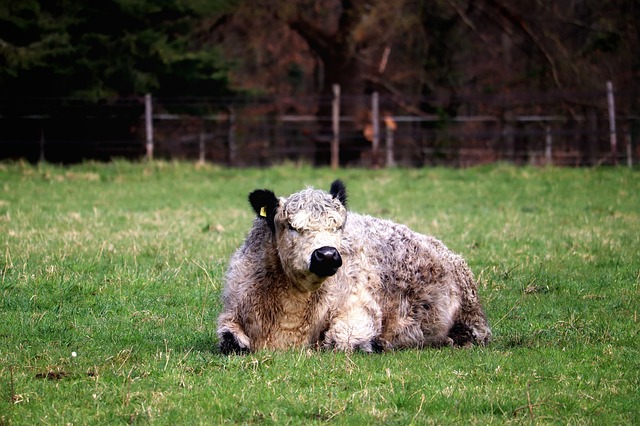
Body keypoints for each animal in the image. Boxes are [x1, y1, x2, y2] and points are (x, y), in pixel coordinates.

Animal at [215, 180, 490, 352]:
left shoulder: (360, 309)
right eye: (292, 226)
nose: (326, 255)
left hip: (470, 315)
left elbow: (340, 341)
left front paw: (376, 344)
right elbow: (230, 341)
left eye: (338, 226)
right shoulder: (231, 314)